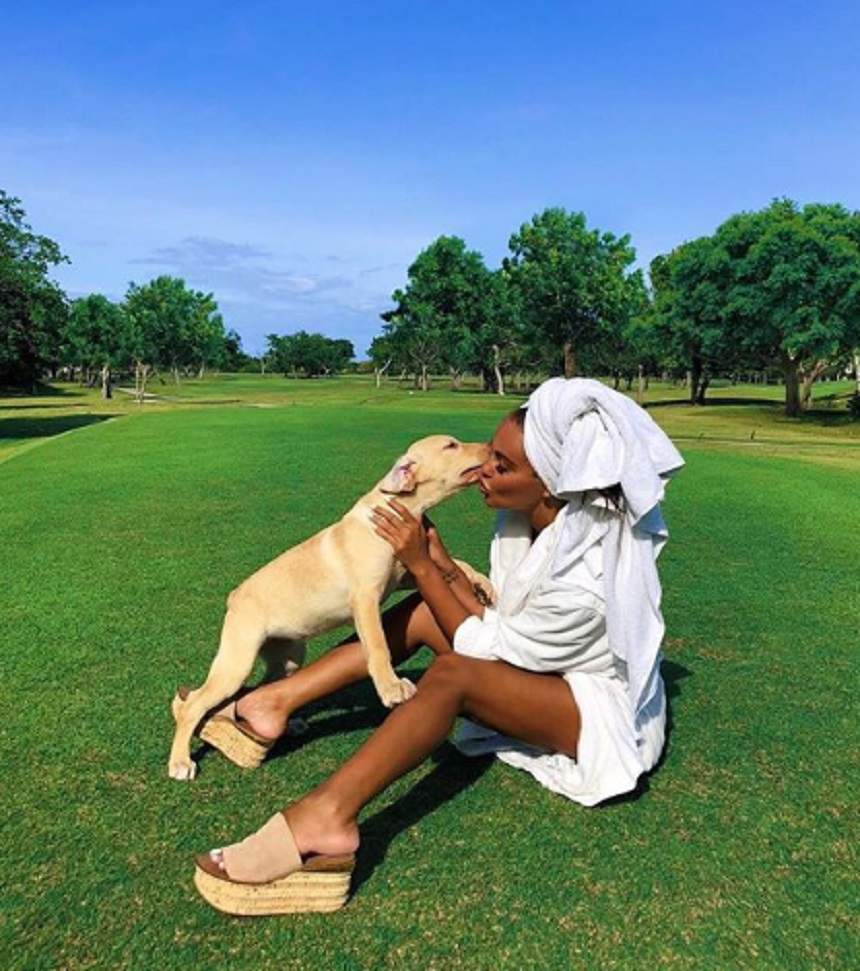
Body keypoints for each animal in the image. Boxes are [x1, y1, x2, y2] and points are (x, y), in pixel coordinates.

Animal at [168, 432, 490, 784]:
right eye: (451, 446)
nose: (490, 447)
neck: (401, 507)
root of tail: (234, 596)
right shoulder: (366, 598)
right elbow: (378, 647)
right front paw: (391, 688)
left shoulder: (405, 574)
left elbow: (458, 563)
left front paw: (484, 585)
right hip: (237, 660)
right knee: (194, 704)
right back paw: (180, 762)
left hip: (287, 657)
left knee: (262, 687)